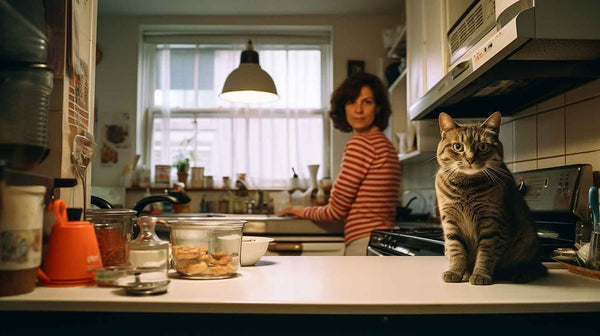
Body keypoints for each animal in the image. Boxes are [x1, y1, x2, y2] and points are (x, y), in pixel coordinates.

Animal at [434, 113, 548, 286]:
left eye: (482, 147)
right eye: (458, 147)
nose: (470, 159)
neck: (466, 186)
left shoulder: (492, 222)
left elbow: (486, 253)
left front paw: (480, 274)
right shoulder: (450, 222)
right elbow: (456, 249)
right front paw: (456, 272)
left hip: (527, 243)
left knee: (535, 267)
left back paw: (521, 274)